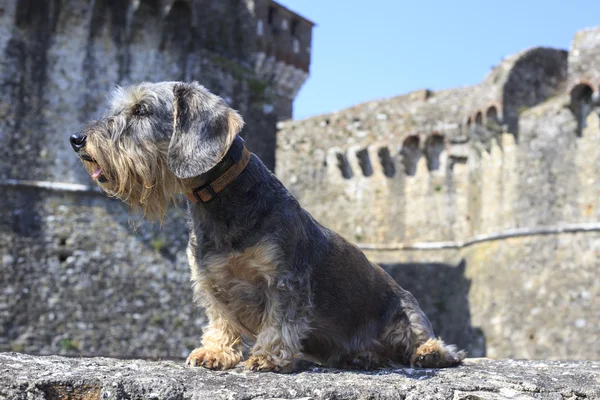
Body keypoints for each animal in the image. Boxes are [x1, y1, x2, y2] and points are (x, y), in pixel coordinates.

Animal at [70, 80, 464, 372]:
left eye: (142, 110)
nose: (77, 139)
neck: (220, 203)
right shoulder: (211, 281)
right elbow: (221, 321)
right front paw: (216, 352)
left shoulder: (284, 278)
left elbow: (281, 320)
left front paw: (268, 356)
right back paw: (361, 356)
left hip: (405, 315)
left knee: (429, 343)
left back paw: (429, 352)